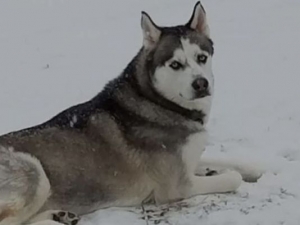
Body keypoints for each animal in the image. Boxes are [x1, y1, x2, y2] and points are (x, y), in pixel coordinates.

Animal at [0, 2, 262, 225]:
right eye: (175, 64)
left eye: (202, 57)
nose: (201, 84)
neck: (160, 102)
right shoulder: (178, 186)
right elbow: (233, 177)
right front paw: (227, 173)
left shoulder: (188, 158)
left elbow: (227, 161)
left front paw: (254, 168)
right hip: (35, 173)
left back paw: (59, 215)